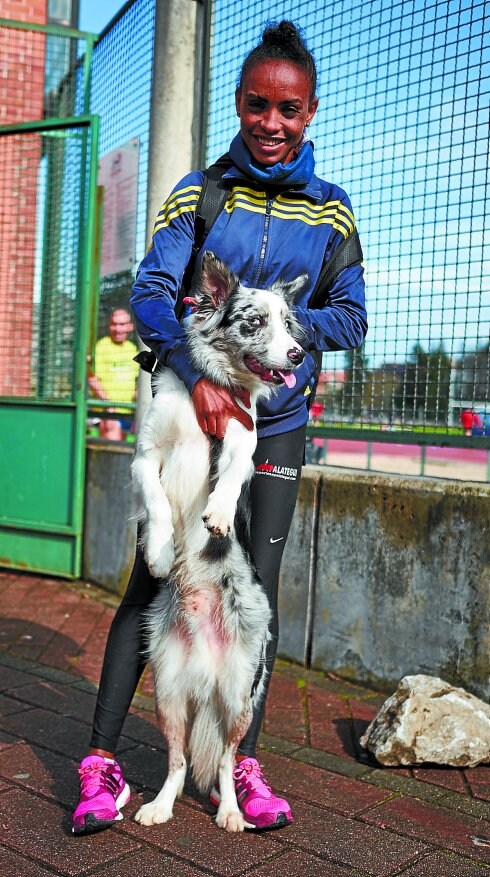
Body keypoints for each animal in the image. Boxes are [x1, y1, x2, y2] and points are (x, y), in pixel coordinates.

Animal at [130, 252, 306, 828]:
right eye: (255, 322)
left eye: (288, 323)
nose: (298, 353)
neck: (213, 382)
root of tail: (206, 666)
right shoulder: (145, 457)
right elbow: (158, 501)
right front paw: (160, 550)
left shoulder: (240, 441)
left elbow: (229, 476)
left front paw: (220, 515)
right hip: (166, 689)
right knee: (180, 760)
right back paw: (159, 806)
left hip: (239, 696)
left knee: (227, 762)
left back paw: (232, 811)